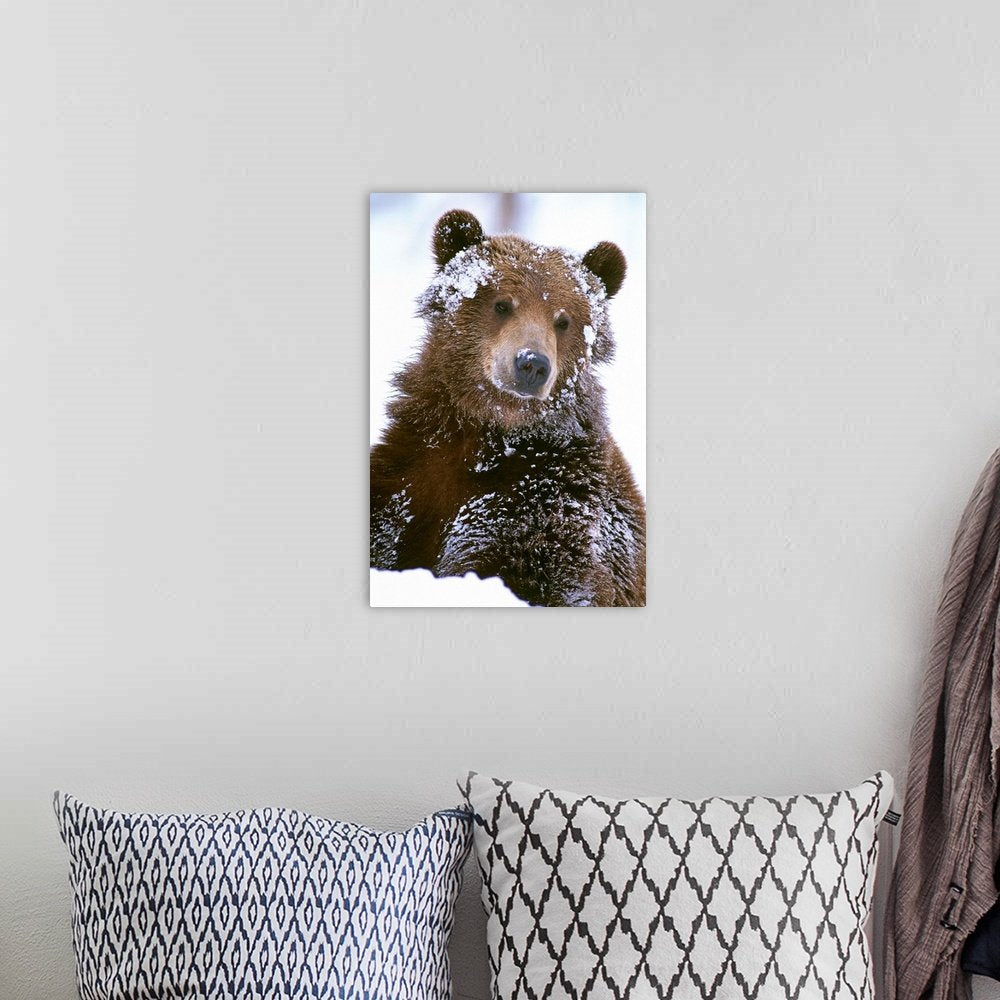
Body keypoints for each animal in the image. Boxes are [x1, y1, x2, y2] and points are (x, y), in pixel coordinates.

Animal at [370, 209, 646, 607]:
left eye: (563, 320)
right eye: (502, 303)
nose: (532, 364)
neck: (488, 433)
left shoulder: (543, 501)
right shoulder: (410, 472)